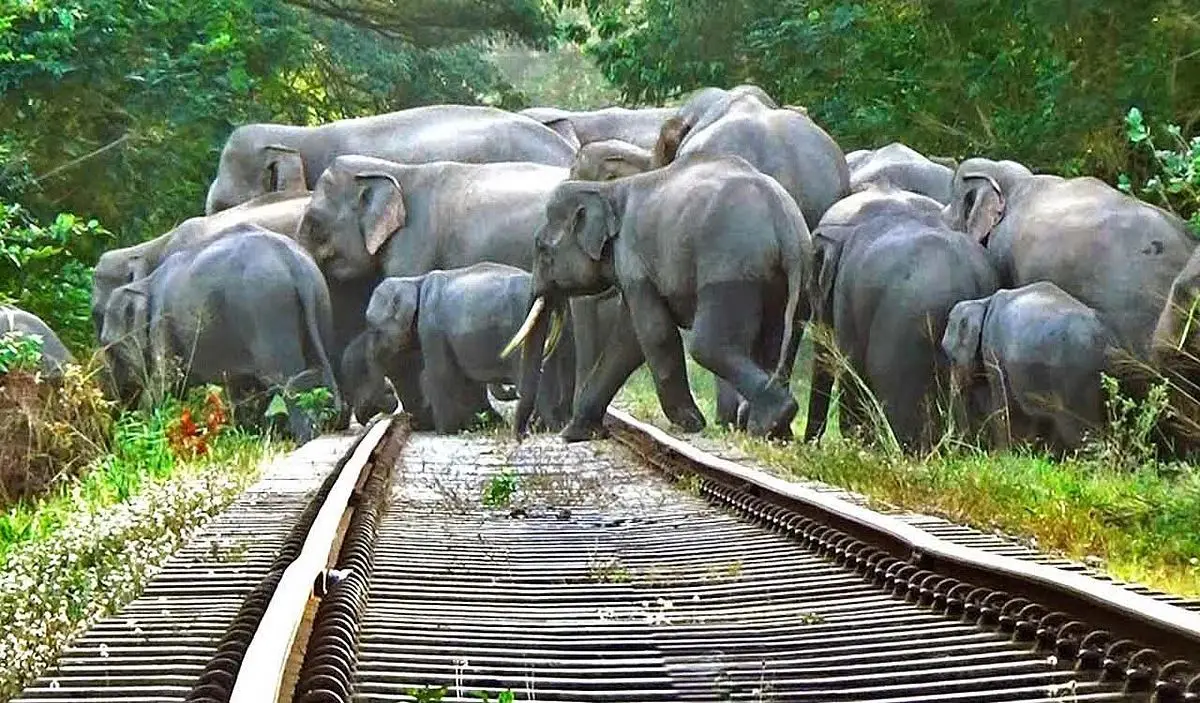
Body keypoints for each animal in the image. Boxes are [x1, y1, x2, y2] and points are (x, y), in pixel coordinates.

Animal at [99, 224, 342, 442]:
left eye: (107, 344)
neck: (145, 283)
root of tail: (291, 261)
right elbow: (237, 387)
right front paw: (249, 435)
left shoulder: (162, 321)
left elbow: (166, 379)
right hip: (318, 300)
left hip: (267, 308)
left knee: (286, 380)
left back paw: (305, 437)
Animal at [342, 263, 574, 434]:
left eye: (373, 328)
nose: (387, 399)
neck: (414, 281)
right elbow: (465, 379)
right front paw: (481, 424)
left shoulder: (431, 326)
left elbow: (440, 372)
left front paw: (445, 431)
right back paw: (550, 425)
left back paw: (548, 427)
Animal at [505, 152, 812, 443]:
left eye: (542, 249)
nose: (522, 435)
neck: (608, 191)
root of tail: (784, 220)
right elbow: (628, 341)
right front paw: (576, 433)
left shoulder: (633, 259)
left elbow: (653, 334)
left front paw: (690, 423)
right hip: (787, 282)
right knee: (776, 343)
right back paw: (773, 430)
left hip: (730, 268)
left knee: (707, 346)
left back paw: (771, 420)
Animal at [804, 187, 998, 450]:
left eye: (810, 289)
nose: (808, 444)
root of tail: (971, 280)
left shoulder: (846, 297)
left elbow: (851, 368)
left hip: (906, 339)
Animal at [942, 281, 1115, 452]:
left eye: (951, 357)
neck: (982, 302)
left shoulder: (992, 352)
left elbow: (1004, 408)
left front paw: (1003, 454)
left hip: (1074, 380)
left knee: (1080, 434)